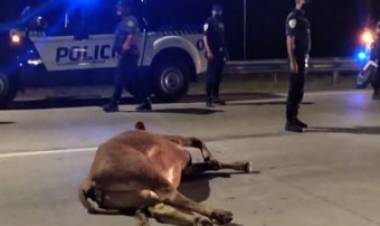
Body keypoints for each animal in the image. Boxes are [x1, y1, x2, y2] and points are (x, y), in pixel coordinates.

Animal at [79, 122, 252, 226]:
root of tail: (90, 179)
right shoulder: (177, 140)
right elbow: (197, 140)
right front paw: (209, 156)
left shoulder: (186, 170)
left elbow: (211, 165)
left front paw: (239, 165)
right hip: (150, 174)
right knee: (173, 197)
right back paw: (218, 214)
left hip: (143, 195)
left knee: (161, 208)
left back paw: (200, 220)